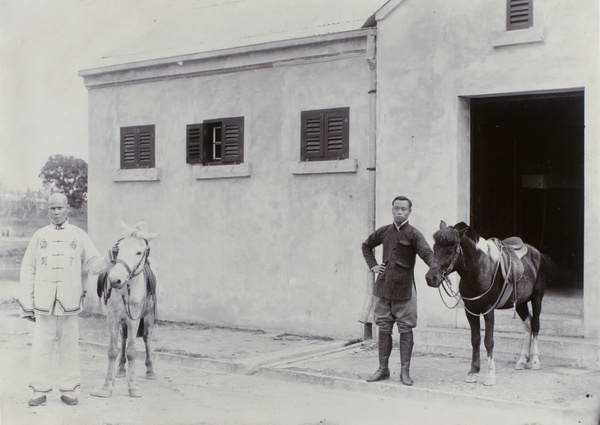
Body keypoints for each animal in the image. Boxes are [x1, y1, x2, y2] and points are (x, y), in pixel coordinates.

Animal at [424, 222, 552, 384]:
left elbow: (489, 340)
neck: (479, 269)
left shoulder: (488, 310)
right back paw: (522, 360)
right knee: (528, 325)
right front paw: (473, 372)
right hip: (520, 303)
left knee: (535, 325)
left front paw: (490, 374)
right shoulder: (470, 310)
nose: (431, 278)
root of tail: (537, 254)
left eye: (450, 250)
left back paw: (535, 361)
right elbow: (475, 339)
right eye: (435, 247)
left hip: (537, 298)